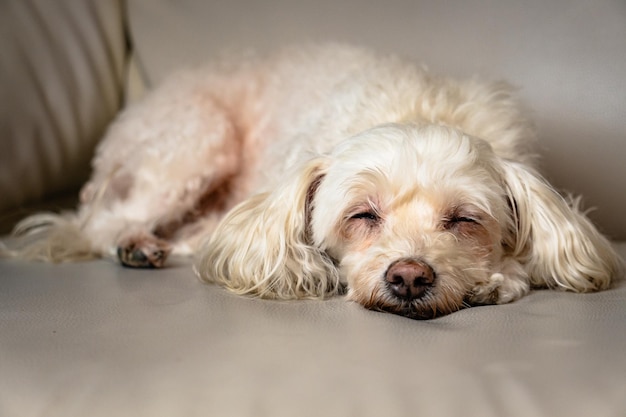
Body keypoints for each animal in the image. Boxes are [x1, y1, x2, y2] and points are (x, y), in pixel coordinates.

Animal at [4, 45, 620, 318]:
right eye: (362, 215)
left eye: (465, 221)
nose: (410, 277)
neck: (415, 106)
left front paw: (496, 278)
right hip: (194, 141)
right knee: (104, 222)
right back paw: (132, 243)